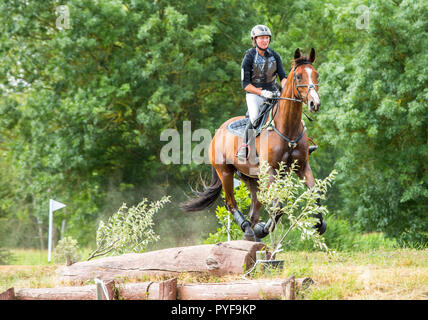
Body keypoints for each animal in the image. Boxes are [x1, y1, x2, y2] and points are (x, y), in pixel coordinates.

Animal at [179, 48, 326, 241]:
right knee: (231, 204)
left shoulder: (302, 167)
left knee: (254, 210)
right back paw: (249, 229)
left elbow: (314, 193)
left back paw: (253, 233)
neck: (287, 127)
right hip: (225, 172)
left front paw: (319, 224)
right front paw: (266, 228)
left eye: (316, 74)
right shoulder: (270, 170)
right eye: (299, 76)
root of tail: (217, 133)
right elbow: (278, 205)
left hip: (252, 178)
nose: (314, 103)